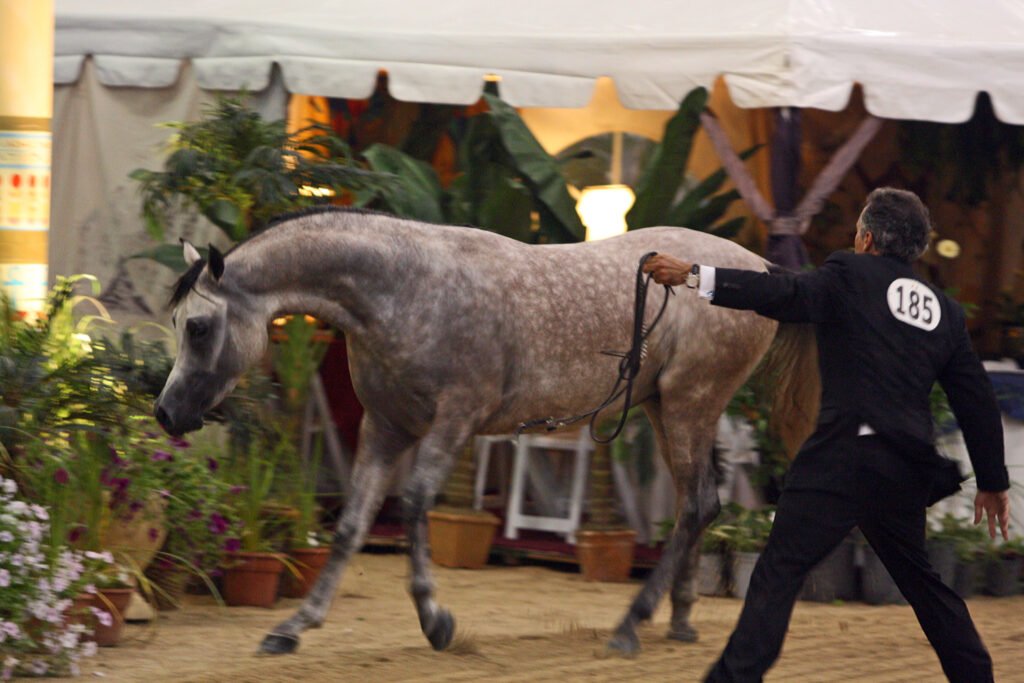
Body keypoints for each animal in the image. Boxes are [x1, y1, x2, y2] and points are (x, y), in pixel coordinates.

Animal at [154, 206, 818, 657]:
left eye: (200, 327)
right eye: (179, 322)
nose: (166, 413)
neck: (406, 290)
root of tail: (757, 268)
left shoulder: (455, 420)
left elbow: (415, 504)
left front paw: (436, 622)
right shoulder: (386, 427)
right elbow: (349, 526)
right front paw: (292, 628)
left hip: (688, 404)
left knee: (697, 506)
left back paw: (632, 624)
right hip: (669, 407)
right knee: (697, 505)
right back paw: (677, 620)